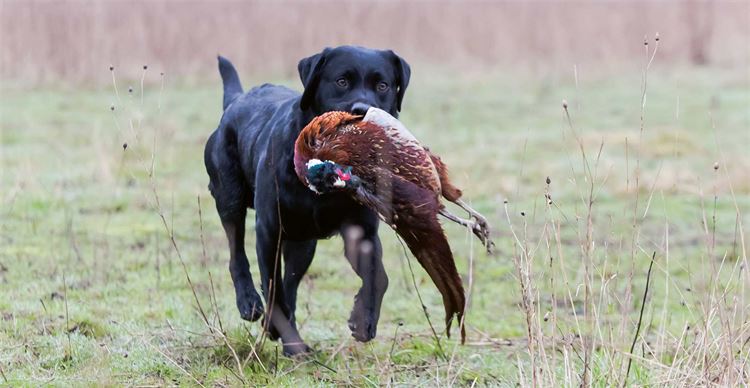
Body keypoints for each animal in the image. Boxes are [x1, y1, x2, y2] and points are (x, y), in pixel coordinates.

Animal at [206, 45, 412, 354]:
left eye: (383, 85)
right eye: (341, 81)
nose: (362, 110)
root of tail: (235, 101)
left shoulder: (361, 231)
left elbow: (379, 278)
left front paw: (363, 320)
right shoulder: (269, 229)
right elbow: (273, 286)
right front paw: (286, 337)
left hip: (303, 242)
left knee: (291, 281)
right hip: (229, 196)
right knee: (236, 251)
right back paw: (250, 304)